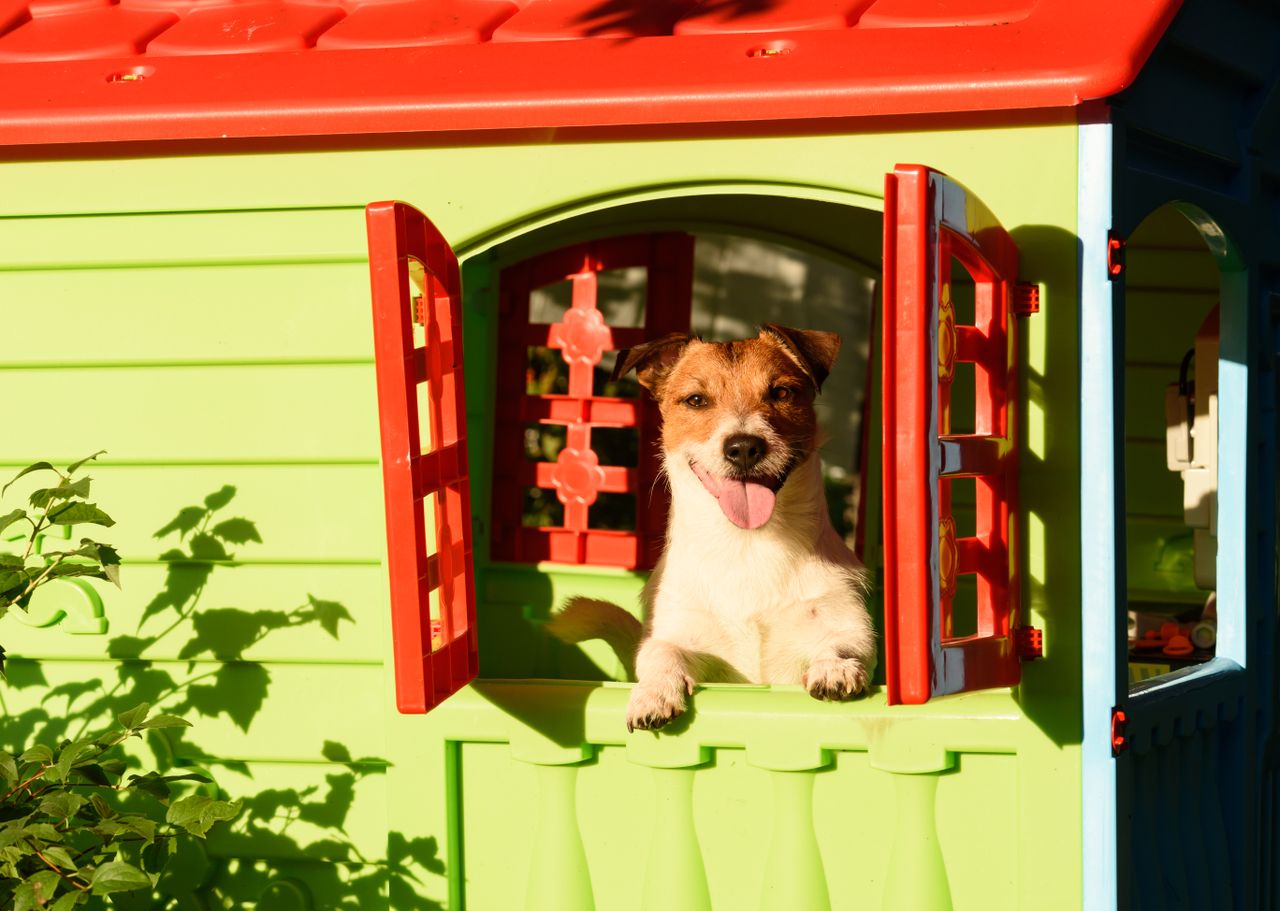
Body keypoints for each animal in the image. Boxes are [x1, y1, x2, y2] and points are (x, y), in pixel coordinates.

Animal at [545, 323, 875, 731]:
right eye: (696, 400)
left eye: (782, 393)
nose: (744, 447)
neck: (748, 546)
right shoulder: (680, 633)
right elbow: (659, 653)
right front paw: (653, 693)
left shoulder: (846, 621)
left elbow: (843, 642)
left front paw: (835, 667)